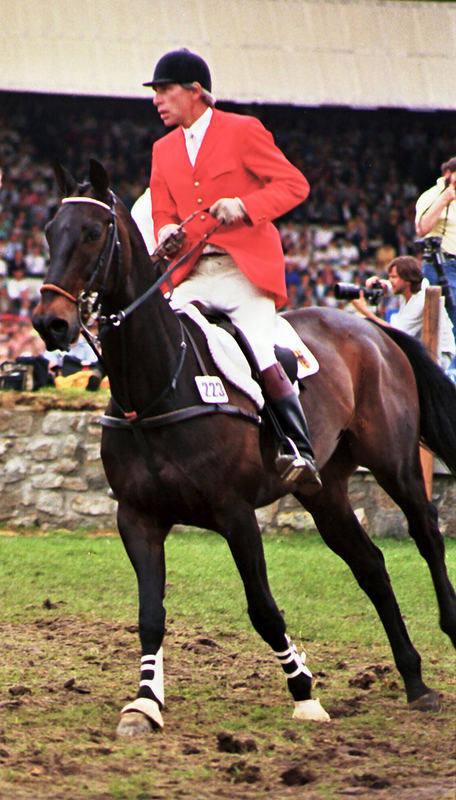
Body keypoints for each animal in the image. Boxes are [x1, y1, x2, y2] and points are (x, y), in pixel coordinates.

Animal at [33, 162, 456, 736]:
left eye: (94, 233)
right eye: (49, 232)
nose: (49, 323)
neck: (158, 387)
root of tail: (372, 330)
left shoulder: (235, 515)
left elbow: (263, 609)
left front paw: (304, 692)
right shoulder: (137, 517)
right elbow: (150, 614)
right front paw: (144, 703)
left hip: (394, 463)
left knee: (427, 535)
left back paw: (447, 632)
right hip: (324, 490)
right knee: (370, 563)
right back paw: (413, 679)